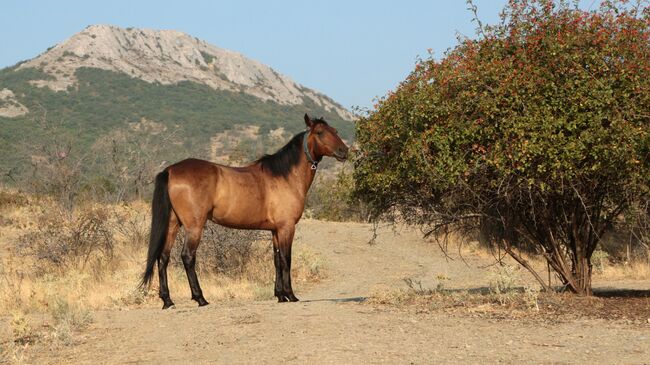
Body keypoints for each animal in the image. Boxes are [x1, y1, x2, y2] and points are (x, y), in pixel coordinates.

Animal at [139, 114, 346, 308]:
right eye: (320, 132)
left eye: (335, 130)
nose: (344, 151)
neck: (285, 176)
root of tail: (170, 170)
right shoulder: (286, 227)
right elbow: (286, 259)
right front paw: (291, 295)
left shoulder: (275, 230)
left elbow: (276, 260)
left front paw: (280, 295)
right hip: (194, 227)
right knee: (187, 257)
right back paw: (201, 299)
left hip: (173, 224)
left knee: (163, 257)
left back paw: (168, 300)